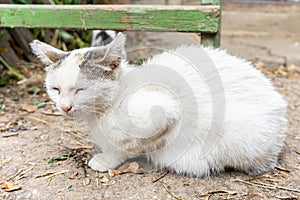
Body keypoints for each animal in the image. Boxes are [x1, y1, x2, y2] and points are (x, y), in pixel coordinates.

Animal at [29, 33, 286, 177]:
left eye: (81, 89)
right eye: (56, 89)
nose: (65, 107)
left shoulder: (164, 111)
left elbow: (129, 145)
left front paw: (107, 159)